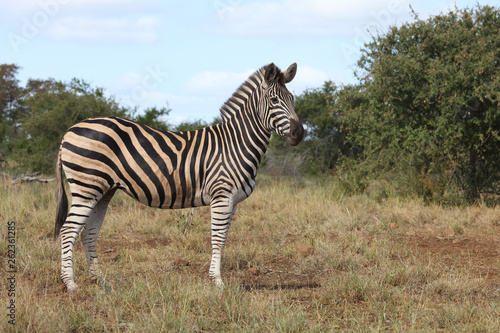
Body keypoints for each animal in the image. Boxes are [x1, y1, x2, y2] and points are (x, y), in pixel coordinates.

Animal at [54, 62, 304, 290]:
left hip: (104, 190)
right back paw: (70, 284)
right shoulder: (222, 196)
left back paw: (101, 281)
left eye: (292, 99)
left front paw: (216, 278)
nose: (299, 134)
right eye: (274, 101)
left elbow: (223, 238)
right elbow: (218, 238)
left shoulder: (232, 201)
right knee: (68, 231)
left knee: (88, 232)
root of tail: (69, 130)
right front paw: (217, 282)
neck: (235, 143)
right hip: (86, 187)